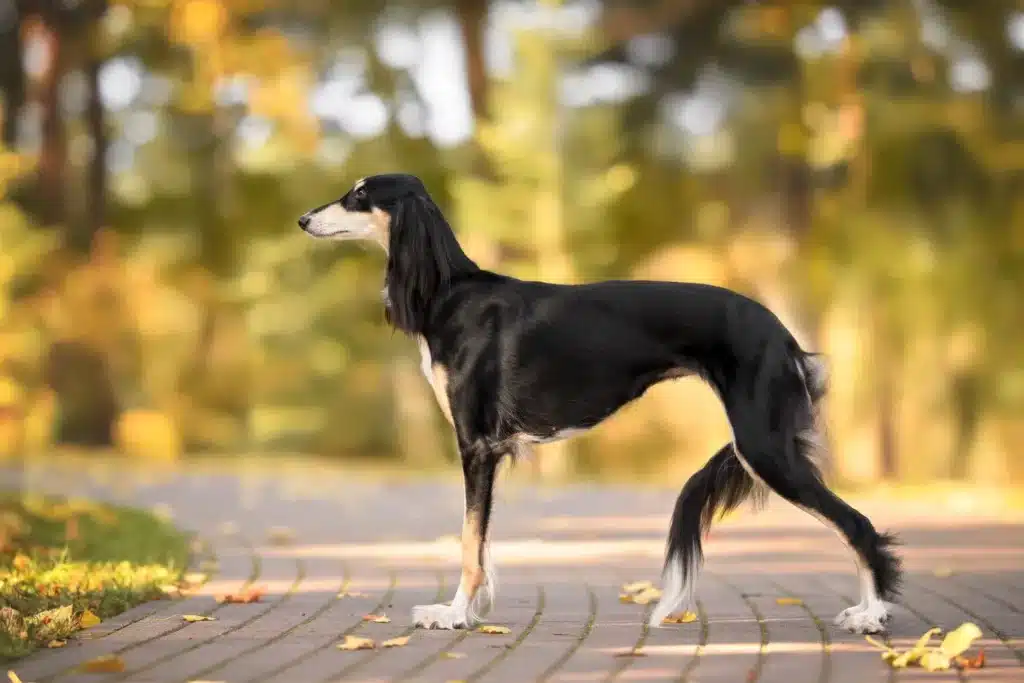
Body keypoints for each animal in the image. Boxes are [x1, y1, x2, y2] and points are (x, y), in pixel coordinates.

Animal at [299, 175, 905, 634]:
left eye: (359, 194)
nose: (304, 219)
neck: (450, 292)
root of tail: (784, 336)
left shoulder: (476, 444)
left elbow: (470, 542)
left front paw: (451, 614)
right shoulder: (488, 451)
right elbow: (482, 541)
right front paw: (472, 610)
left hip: (764, 447)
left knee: (857, 524)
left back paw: (871, 613)